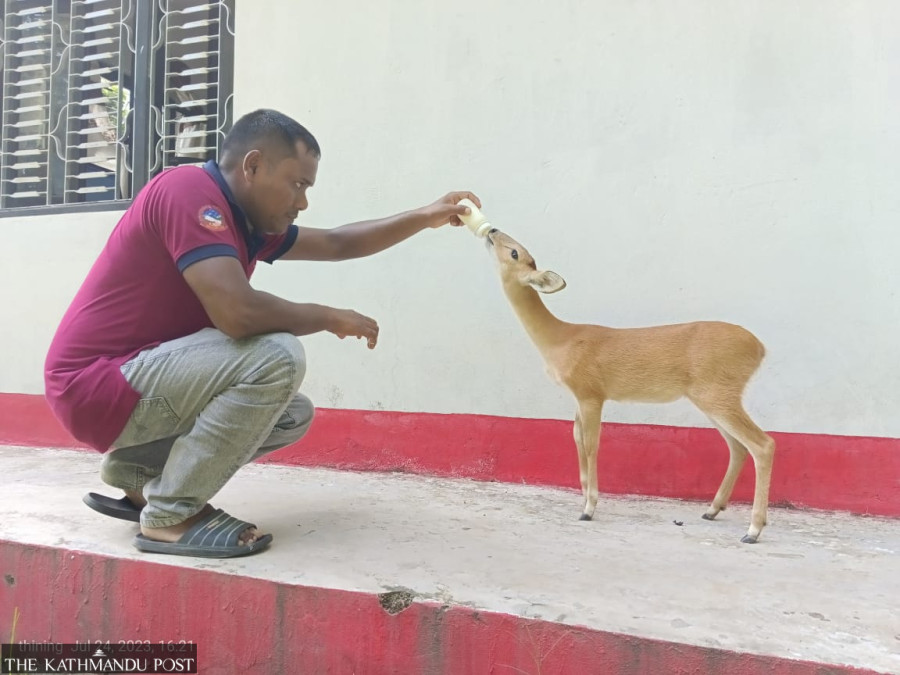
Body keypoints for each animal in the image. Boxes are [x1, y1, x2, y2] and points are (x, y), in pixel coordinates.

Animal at [483, 228, 775, 543]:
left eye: (515, 252)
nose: (492, 230)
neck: (561, 339)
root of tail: (760, 348)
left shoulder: (591, 393)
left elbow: (592, 445)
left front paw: (589, 508)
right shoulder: (579, 397)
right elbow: (577, 439)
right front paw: (584, 499)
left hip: (717, 392)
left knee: (763, 444)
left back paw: (753, 530)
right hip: (712, 397)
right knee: (738, 447)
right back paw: (712, 510)